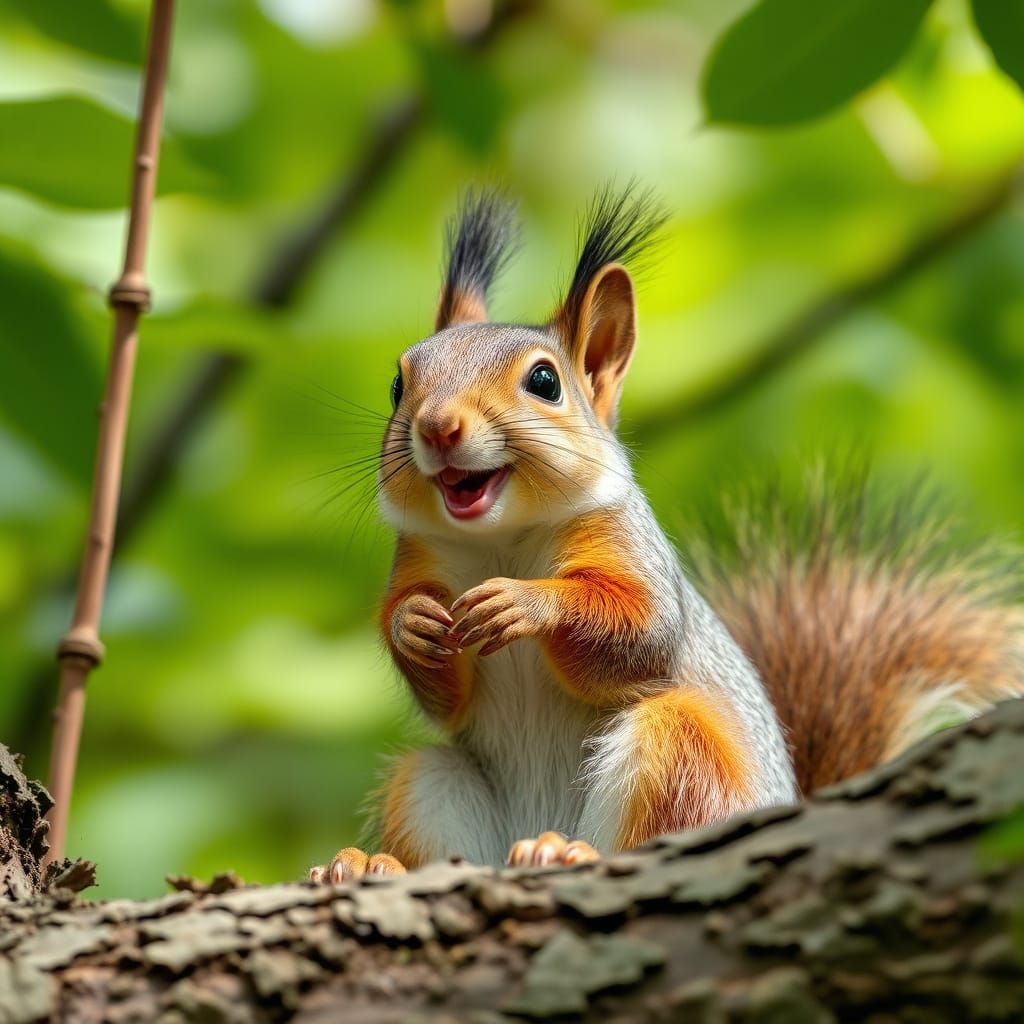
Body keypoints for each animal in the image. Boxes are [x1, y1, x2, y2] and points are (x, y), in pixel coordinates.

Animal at [310, 188, 1024, 882]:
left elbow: (641, 633)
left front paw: (527, 601)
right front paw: (410, 624)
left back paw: (567, 852)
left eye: (545, 381)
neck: (500, 541)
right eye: (398, 384)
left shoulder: (632, 549)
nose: (437, 427)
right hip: (431, 783)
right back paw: (372, 863)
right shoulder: (418, 560)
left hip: (682, 755)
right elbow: (443, 699)